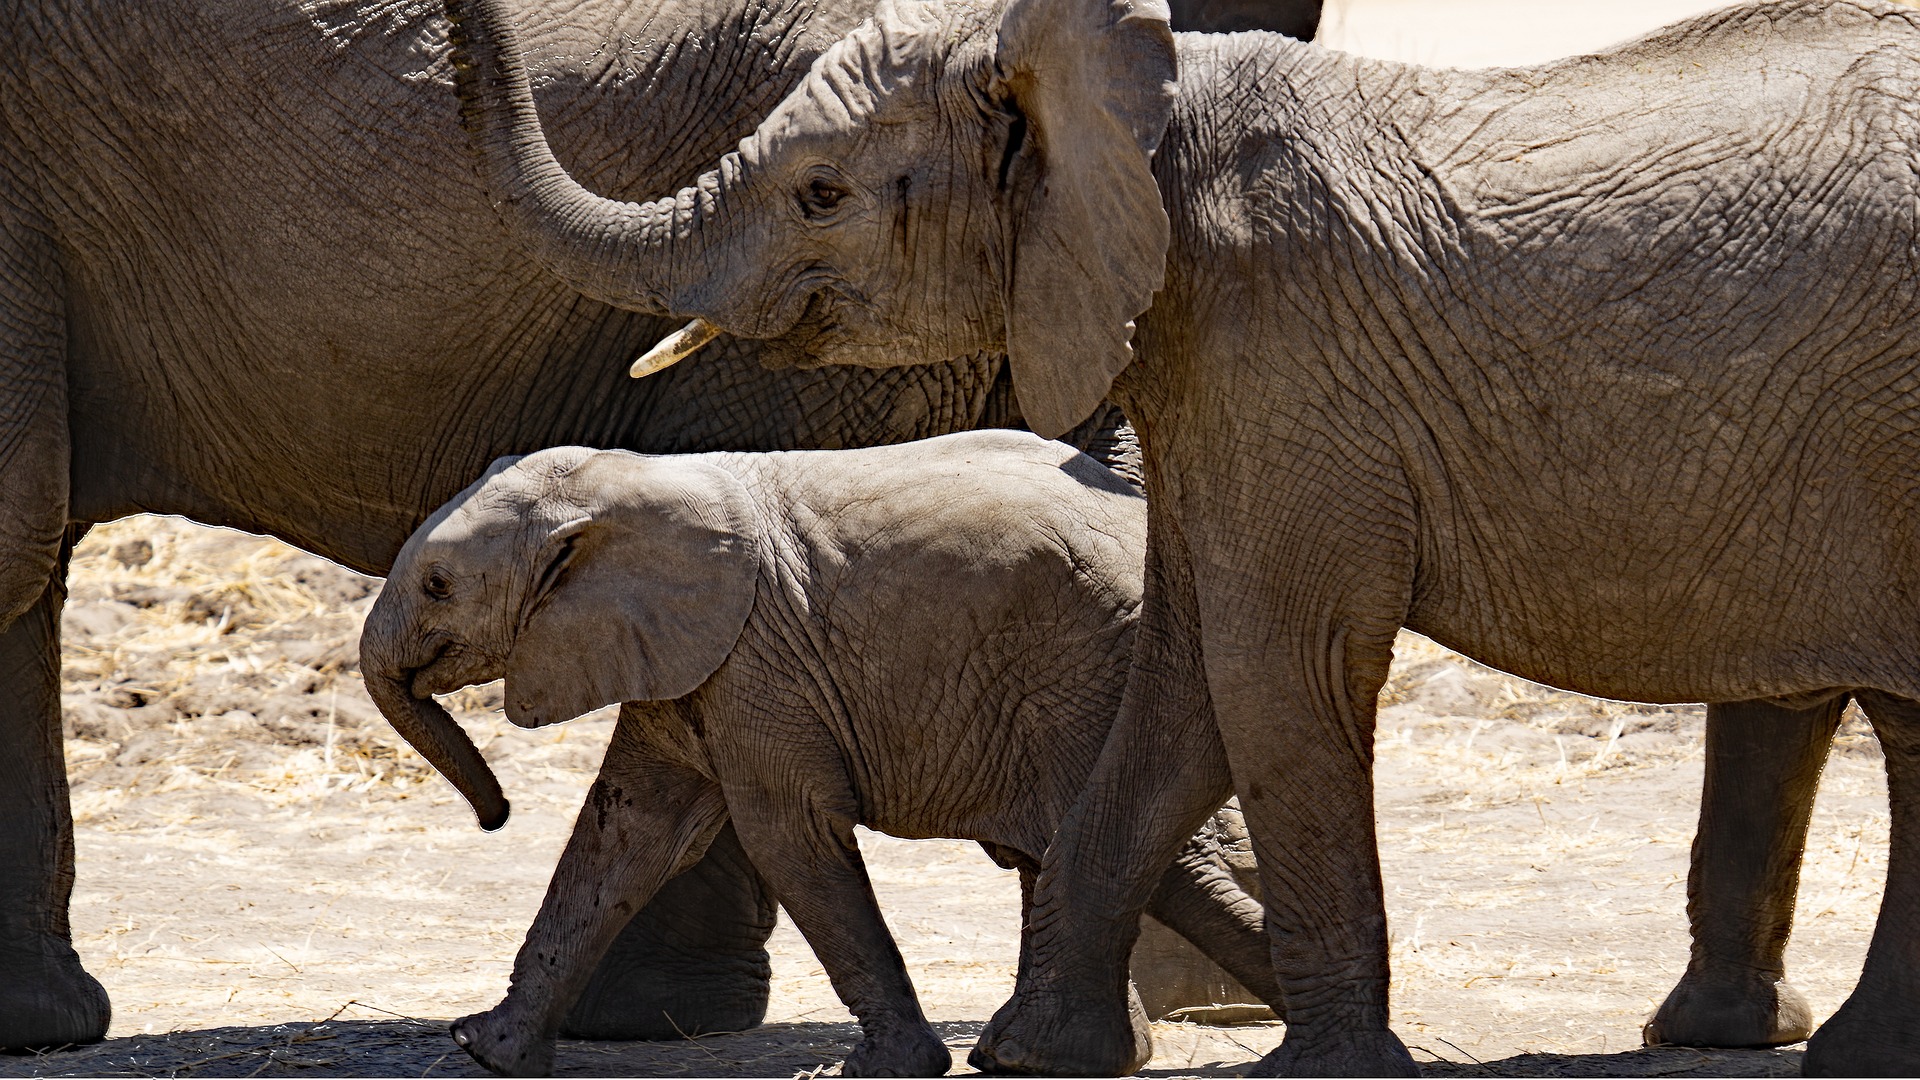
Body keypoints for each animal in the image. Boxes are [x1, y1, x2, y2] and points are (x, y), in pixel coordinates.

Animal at [366, 430, 1282, 1076]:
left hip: (1085, 672)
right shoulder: (689, 658)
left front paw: (888, 1070)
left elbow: (788, 835)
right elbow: (624, 834)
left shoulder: (755, 662)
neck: (626, 479)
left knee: (1131, 851)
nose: (495, 816)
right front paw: (485, 1048)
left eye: (439, 586)